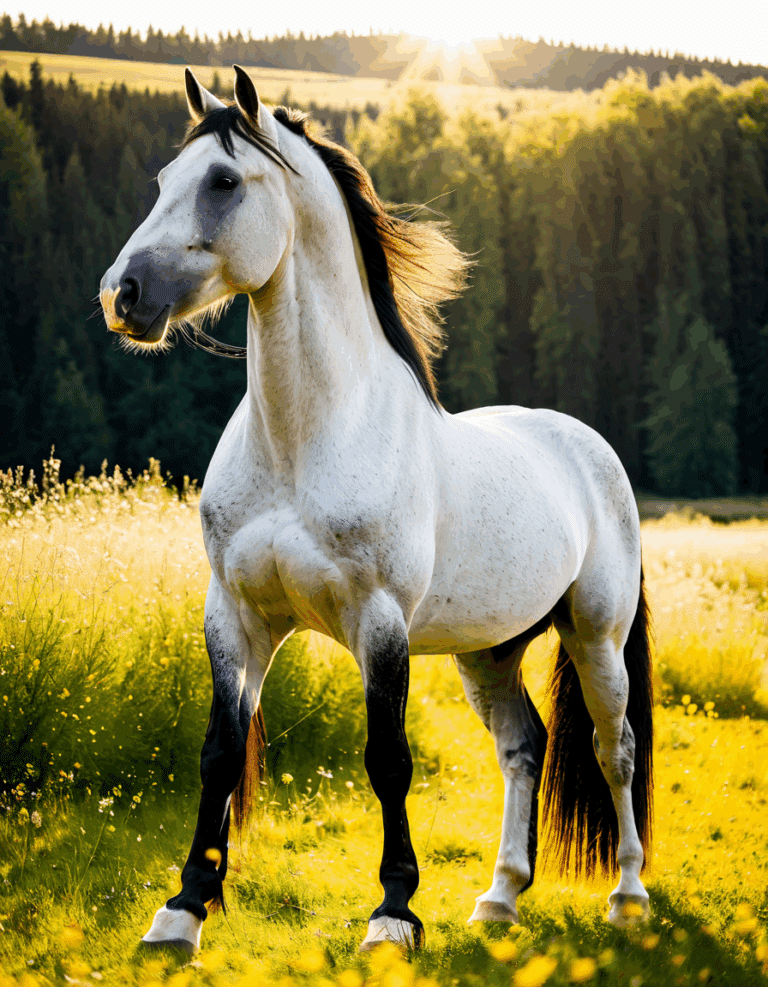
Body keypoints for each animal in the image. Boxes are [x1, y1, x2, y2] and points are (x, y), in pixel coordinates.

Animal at [99, 66, 653, 955]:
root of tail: (587, 448)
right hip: (489, 650)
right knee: (523, 746)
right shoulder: (236, 613)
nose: (124, 295)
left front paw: (393, 912)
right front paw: (182, 909)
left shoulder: (380, 621)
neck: (305, 440)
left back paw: (628, 896)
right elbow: (219, 751)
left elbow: (387, 759)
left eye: (222, 183)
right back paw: (500, 897)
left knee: (615, 748)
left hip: (595, 632)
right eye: (160, 182)